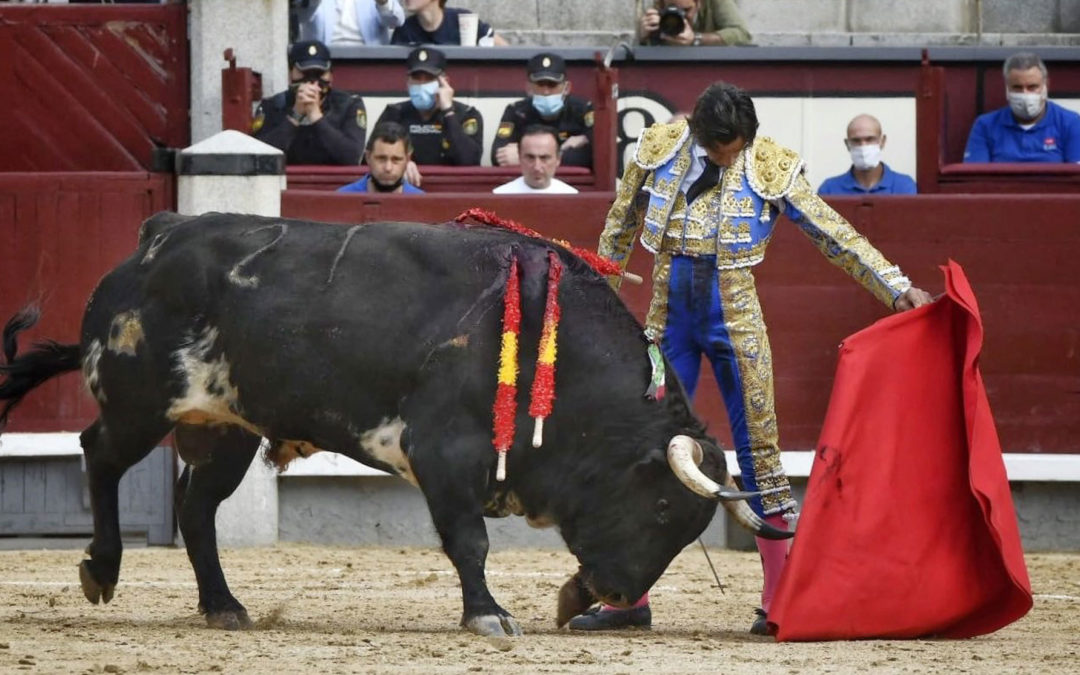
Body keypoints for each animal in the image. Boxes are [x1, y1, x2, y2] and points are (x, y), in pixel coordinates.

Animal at [0, 212, 786, 635]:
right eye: (662, 508)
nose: (622, 592)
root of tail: (157, 237)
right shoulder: (444, 451)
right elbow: (470, 541)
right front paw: (489, 615)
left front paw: (567, 598)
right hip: (140, 402)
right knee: (99, 454)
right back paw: (101, 570)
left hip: (230, 427)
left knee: (196, 509)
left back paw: (223, 605)